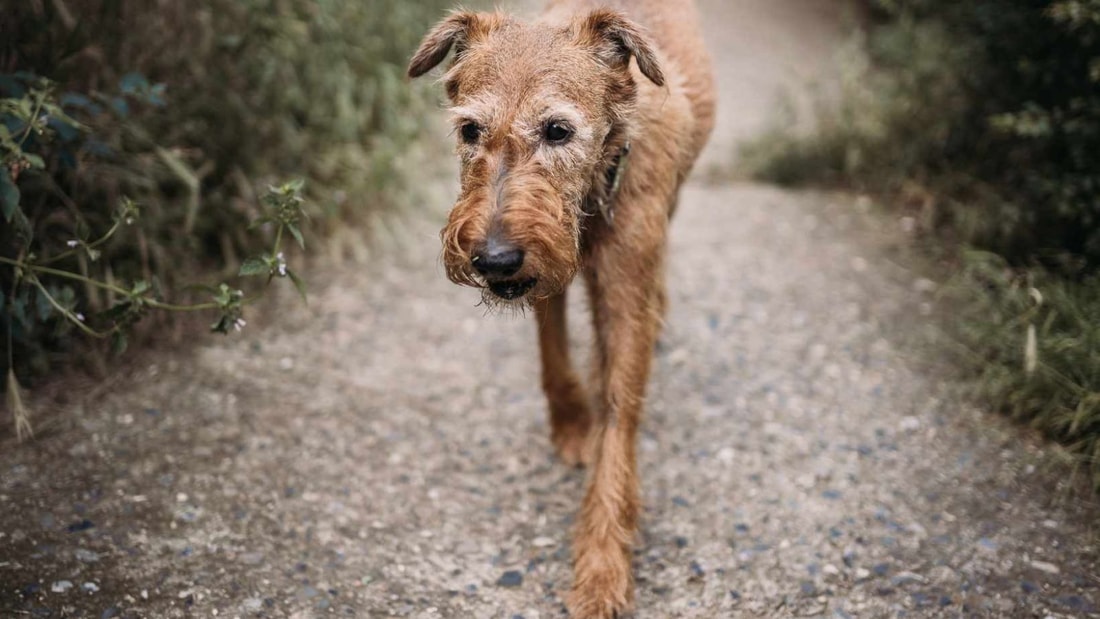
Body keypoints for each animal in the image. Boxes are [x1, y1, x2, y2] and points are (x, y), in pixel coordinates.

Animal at [409, 2, 717, 615]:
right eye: (470, 130)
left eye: (557, 130)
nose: (491, 257)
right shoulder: (542, 268)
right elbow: (552, 351)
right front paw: (573, 423)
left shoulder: (624, 286)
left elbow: (619, 414)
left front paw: (602, 567)